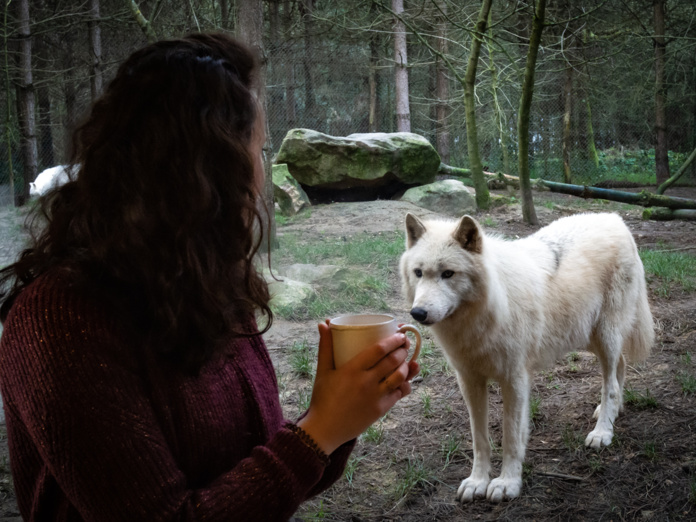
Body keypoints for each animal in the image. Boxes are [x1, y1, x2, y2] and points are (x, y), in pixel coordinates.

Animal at [400, 210, 656, 500]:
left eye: (448, 273)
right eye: (418, 273)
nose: (418, 313)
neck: (486, 313)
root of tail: (614, 218)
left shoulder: (515, 380)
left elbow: (511, 436)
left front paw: (507, 483)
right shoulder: (469, 381)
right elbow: (479, 438)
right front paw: (477, 481)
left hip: (605, 336)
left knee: (610, 383)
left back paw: (603, 431)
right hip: (587, 337)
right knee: (619, 368)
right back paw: (610, 412)